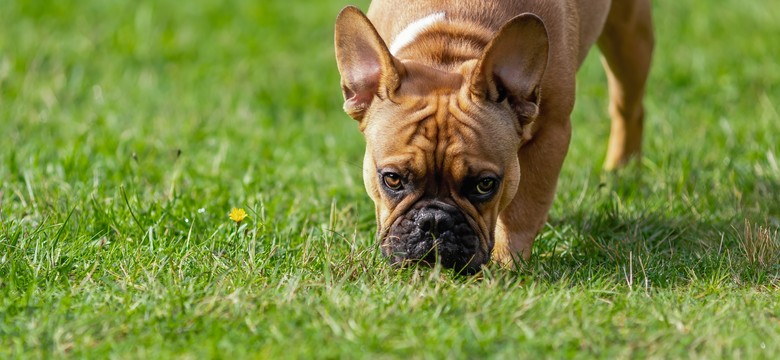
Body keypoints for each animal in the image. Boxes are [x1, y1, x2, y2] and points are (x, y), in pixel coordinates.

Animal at [334, 0, 652, 272]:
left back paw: (622, 168)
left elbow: (523, 209)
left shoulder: (551, 133)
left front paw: (506, 266)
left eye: (485, 185)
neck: (450, 46)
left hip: (629, 35)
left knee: (628, 106)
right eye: (392, 179)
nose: (434, 221)